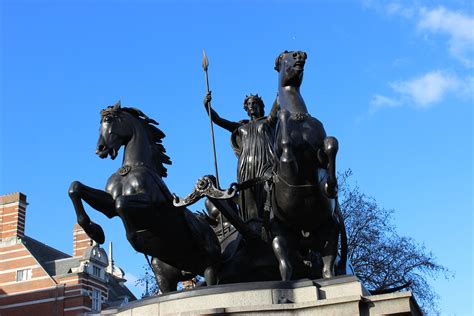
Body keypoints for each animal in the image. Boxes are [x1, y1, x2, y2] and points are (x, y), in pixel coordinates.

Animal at [68, 102, 220, 292]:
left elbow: (121, 204)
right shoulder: (109, 204)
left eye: (108, 119)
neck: (133, 167)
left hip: (210, 267)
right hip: (165, 277)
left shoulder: (151, 205)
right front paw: (95, 231)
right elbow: (75, 188)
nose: (100, 149)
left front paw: (140, 239)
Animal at [270, 50, 344, 280]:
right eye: (285, 57)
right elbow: (287, 149)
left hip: (329, 231)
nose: (299, 55)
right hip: (280, 237)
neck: (299, 116)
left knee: (327, 268)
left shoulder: (319, 155)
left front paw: (331, 186)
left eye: (296, 54)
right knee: (285, 267)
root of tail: (305, 234)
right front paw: (281, 115)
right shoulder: (286, 164)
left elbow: (330, 145)